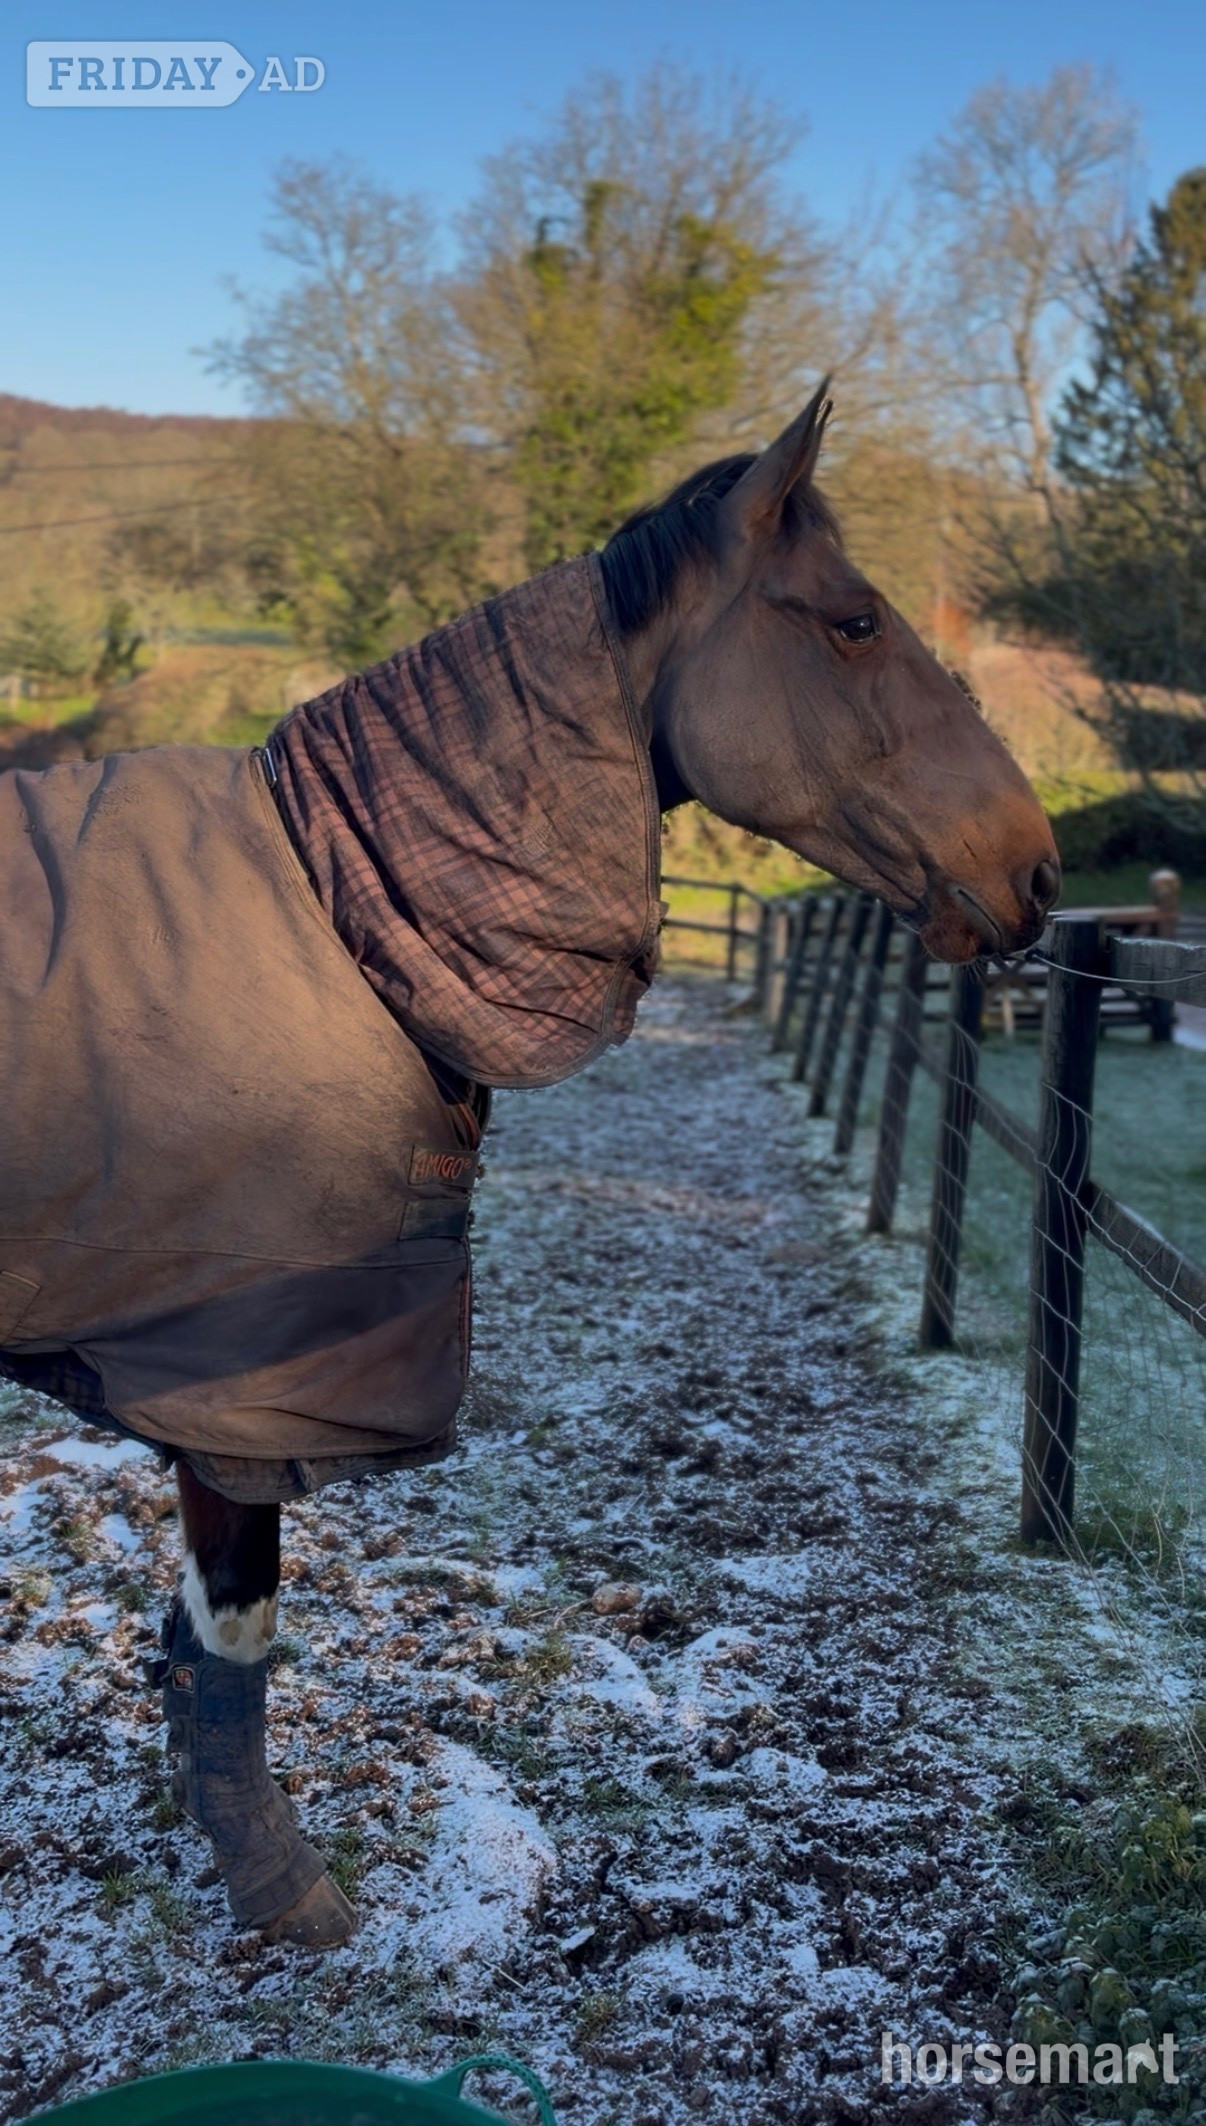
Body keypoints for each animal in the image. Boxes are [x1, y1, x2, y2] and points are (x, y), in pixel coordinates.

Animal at [0, 386, 1060, 1947]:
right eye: (856, 619)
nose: (1038, 869)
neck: (339, 906)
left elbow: (200, 1631)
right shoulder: (233, 1377)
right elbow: (236, 1614)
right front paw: (278, 1879)